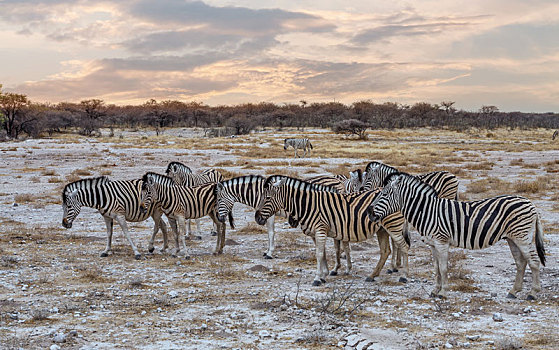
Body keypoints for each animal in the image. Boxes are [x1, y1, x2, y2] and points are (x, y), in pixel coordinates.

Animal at [256, 176, 410, 286]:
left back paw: (404, 276)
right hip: (382, 229)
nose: (257, 218)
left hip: (393, 225)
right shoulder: (316, 233)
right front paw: (324, 275)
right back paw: (372, 276)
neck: (308, 205)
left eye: (267, 198)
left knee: (403, 246)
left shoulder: (320, 229)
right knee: (385, 251)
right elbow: (323, 253)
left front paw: (317, 278)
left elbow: (318, 254)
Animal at [368, 174, 548, 300]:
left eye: (384, 194)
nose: (369, 213)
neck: (427, 212)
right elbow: (436, 269)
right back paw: (513, 291)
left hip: (522, 236)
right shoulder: (432, 244)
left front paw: (443, 293)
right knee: (520, 262)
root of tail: (531, 204)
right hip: (512, 238)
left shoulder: (441, 242)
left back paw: (532, 293)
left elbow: (443, 268)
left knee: (533, 262)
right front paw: (435, 290)